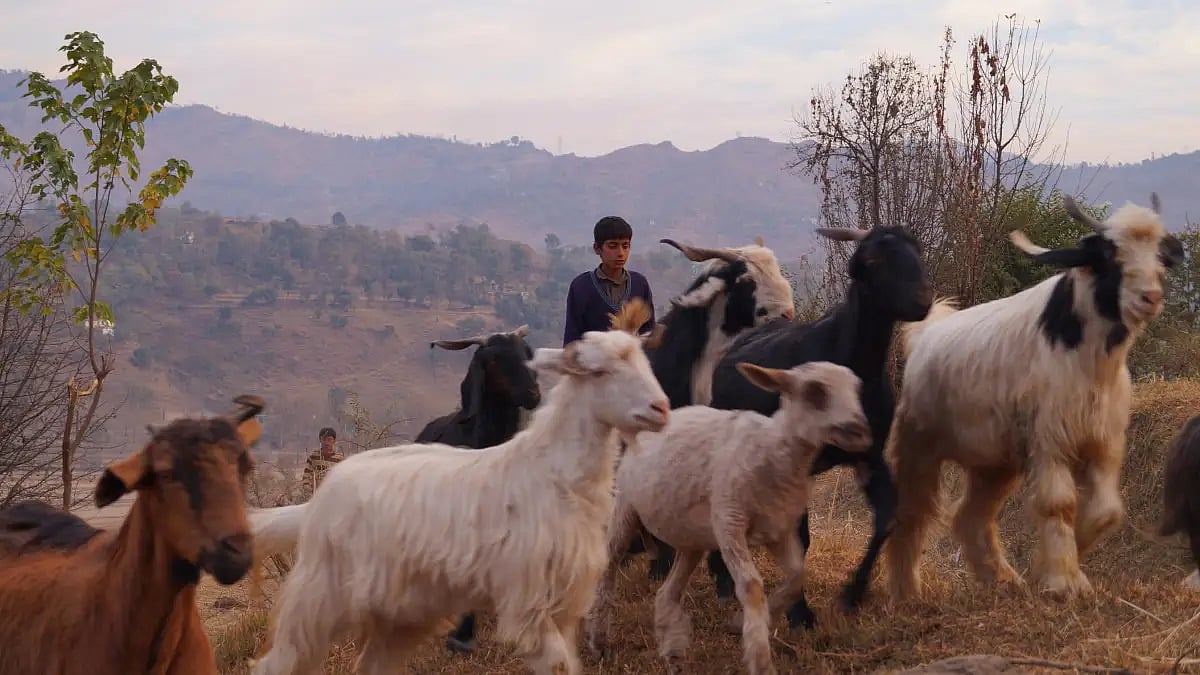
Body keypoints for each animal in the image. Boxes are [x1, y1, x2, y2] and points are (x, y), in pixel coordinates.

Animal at [248, 299, 670, 675]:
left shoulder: (563, 607)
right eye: (599, 372)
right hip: (319, 600)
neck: (550, 471)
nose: (661, 409)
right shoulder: (529, 604)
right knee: (275, 664)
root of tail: (318, 500)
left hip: (398, 612)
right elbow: (558, 665)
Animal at [586, 360, 871, 675]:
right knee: (609, 567)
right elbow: (751, 586)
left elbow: (797, 575)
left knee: (668, 591)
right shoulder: (729, 523)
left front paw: (739, 624)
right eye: (815, 391)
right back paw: (599, 641)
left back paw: (672, 650)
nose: (861, 431)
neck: (773, 450)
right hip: (625, 508)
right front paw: (760, 658)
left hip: (692, 536)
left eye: (857, 390)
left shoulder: (779, 529)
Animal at [698, 224, 933, 630]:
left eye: (916, 250)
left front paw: (853, 595)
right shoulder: (798, 462)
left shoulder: (870, 454)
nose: (922, 299)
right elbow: (802, 536)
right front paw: (800, 614)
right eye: (874, 259)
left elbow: (887, 517)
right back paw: (724, 580)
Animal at [885, 193, 1185, 603]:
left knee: (970, 516)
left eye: (1159, 255)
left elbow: (1107, 511)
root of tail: (928, 333)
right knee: (911, 511)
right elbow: (1059, 505)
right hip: (919, 445)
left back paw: (1002, 579)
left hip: (995, 462)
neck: (1087, 355)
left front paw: (1056, 564)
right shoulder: (1050, 440)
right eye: (1110, 256)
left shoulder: (1103, 442)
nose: (1150, 297)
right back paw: (905, 592)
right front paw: (1063, 580)